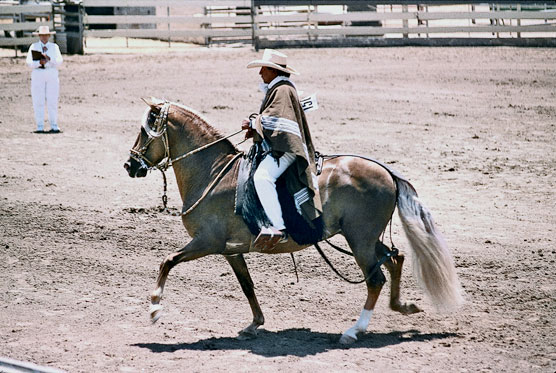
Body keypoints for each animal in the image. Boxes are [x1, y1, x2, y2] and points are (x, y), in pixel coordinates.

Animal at [124, 98, 462, 342]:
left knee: (375, 278)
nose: (130, 165)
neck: (214, 172)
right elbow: (247, 285)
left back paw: (354, 331)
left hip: (360, 240)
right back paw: (402, 306)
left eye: (144, 130)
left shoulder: (207, 241)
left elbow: (167, 261)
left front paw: (155, 307)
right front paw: (254, 324)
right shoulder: (231, 250)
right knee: (395, 259)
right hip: (365, 239)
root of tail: (387, 172)